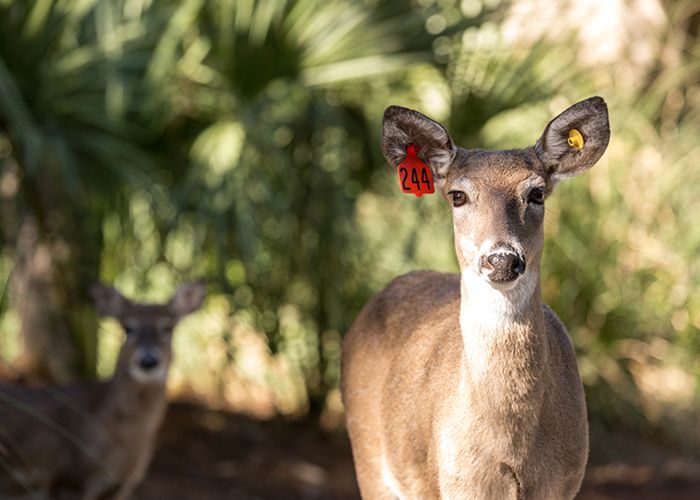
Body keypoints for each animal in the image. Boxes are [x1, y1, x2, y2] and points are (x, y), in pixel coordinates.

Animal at [341, 97, 610, 499]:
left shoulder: (564, 482)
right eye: (458, 195)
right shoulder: (456, 482)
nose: (502, 259)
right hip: (369, 453)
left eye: (537, 193)